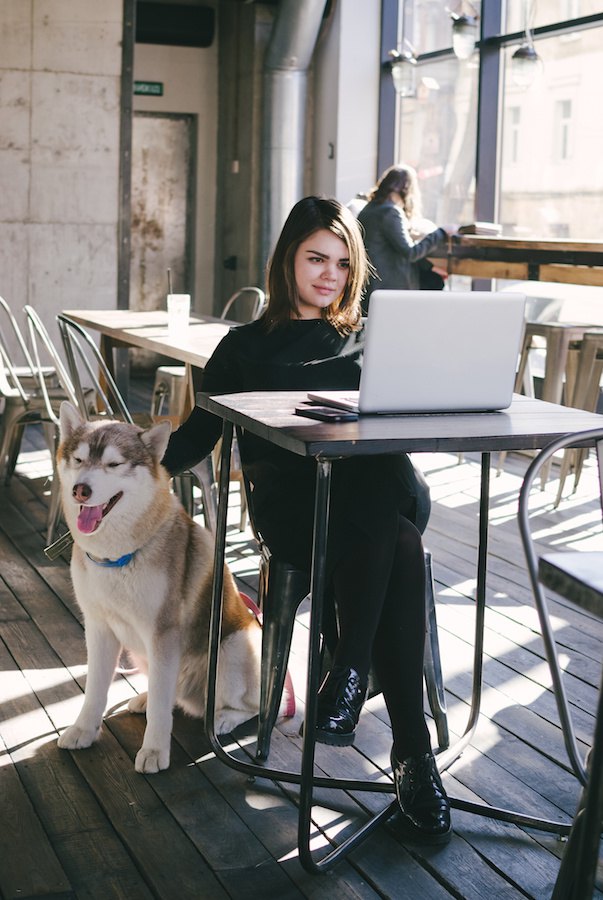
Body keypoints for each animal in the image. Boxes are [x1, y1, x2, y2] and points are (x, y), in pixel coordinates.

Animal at [56, 402, 262, 772]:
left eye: (114, 464)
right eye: (78, 460)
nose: (81, 490)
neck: (117, 557)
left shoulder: (163, 634)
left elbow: (160, 712)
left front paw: (153, 751)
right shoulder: (99, 628)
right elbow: (94, 689)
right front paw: (83, 730)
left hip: (233, 647)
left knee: (252, 708)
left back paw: (223, 718)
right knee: (169, 693)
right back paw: (145, 697)